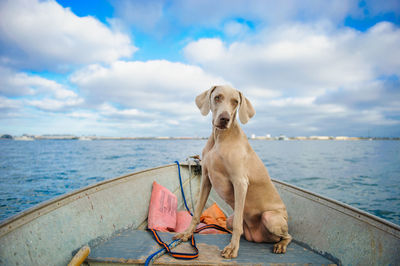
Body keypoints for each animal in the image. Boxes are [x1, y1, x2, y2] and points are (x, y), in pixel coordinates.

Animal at [173, 84, 292, 258]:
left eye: (236, 101)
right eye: (217, 97)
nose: (225, 118)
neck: (220, 138)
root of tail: (257, 238)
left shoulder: (240, 182)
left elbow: (237, 224)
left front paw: (232, 249)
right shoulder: (206, 178)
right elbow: (196, 212)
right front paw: (186, 234)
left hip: (271, 217)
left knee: (287, 236)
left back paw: (280, 245)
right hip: (230, 219)